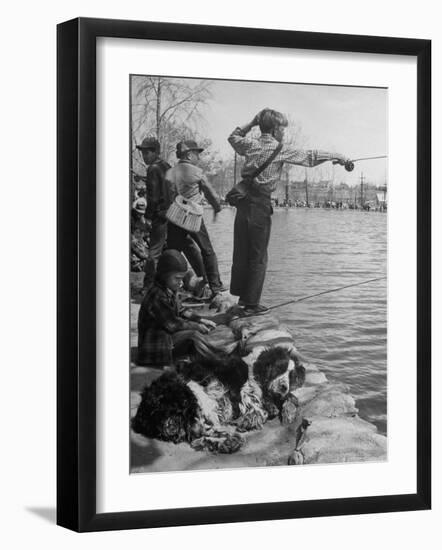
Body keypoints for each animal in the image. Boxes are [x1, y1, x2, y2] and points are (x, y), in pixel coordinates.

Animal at [131, 350, 304, 458]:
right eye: (278, 369)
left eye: (292, 375)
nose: (284, 386)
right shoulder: (245, 391)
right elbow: (258, 407)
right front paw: (252, 418)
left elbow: (292, 397)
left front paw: (288, 412)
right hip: (196, 393)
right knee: (197, 432)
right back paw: (230, 440)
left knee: (196, 436)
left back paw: (228, 442)